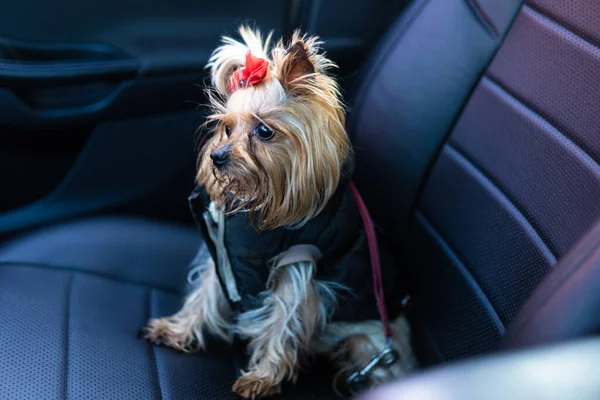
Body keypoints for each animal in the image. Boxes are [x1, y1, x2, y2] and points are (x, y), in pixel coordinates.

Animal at [145, 26, 418, 398]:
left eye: (264, 131)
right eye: (227, 128)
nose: (217, 157)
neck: (261, 200)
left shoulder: (297, 263)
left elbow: (283, 321)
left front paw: (261, 378)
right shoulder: (225, 252)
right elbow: (206, 292)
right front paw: (177, 330)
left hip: (369, 345)